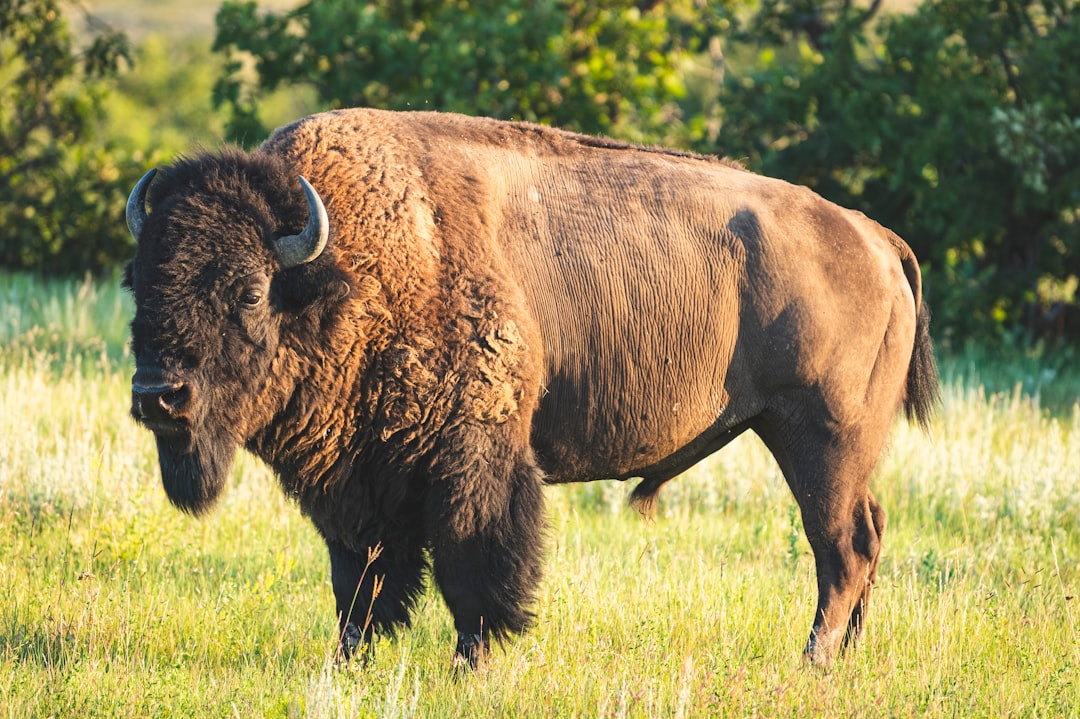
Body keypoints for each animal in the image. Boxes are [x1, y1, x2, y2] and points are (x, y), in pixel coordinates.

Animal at [123, 108, 938, 668]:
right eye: (140, 283)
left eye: (247, 291)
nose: (159, 395)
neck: (346, 270)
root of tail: (874, 237)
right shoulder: (358, 480)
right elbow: (360, 577)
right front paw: (350, 661)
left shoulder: (471, 459)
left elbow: (473, 563)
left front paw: (471, 662)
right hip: (834, 449)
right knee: (868, 533)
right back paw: (846, 655)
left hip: (817, 437)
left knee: (841, 545)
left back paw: (813, 660)